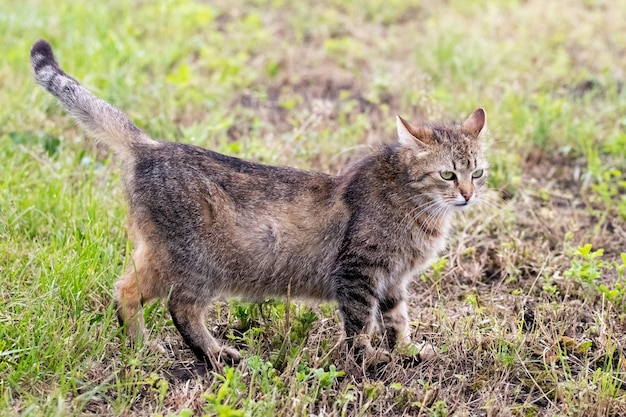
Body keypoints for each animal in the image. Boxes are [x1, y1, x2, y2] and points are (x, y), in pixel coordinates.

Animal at [30, 38, 488, 364]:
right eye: (448, 174)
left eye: (478, 172)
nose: (467, 195)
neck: (415, 204)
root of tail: (152, 147)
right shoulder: (358, 273)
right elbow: (360, 324)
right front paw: (370, 359)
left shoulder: (393, 280)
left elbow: (396, 320)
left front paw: (407, 351)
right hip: (194, 264)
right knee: (164, 301)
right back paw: (204, 352)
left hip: (166, 257)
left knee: (128, 289)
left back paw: (144, 347)